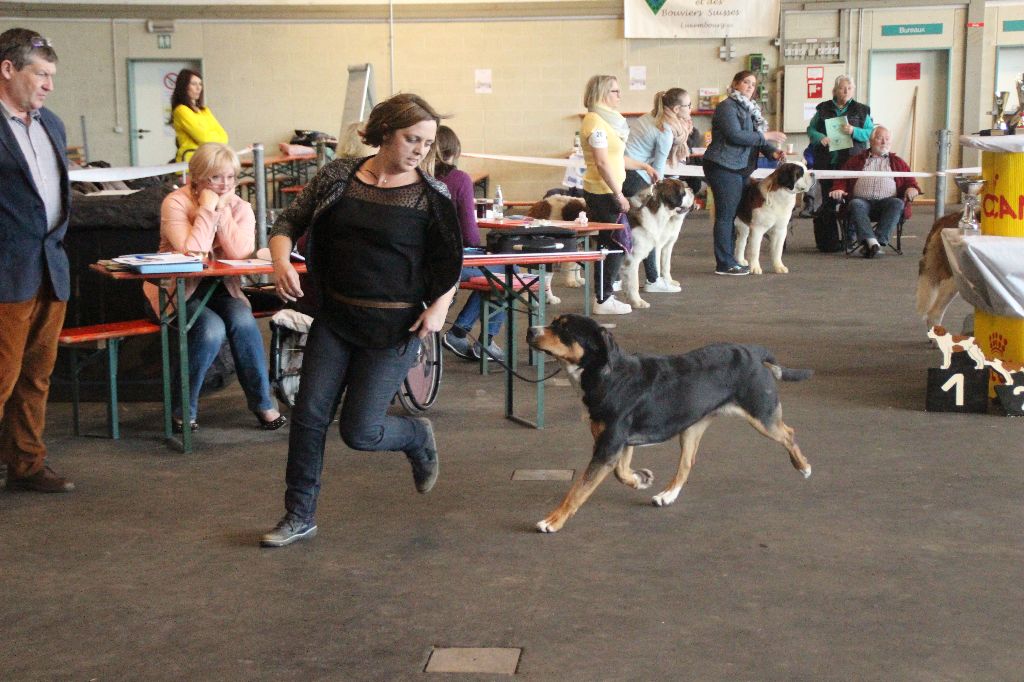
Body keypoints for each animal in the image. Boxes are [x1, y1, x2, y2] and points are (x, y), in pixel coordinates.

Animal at [526, 313, 813, 533]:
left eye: (564, 329)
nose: (530, 330)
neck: (608, 376)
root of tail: (752, 351)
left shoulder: (608, 446)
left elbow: (578, 490)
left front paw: (553, 521)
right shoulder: (618, 443)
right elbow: (621, 472)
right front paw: (641, 479)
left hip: (762, 415)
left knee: (788, 433)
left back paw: (803, 467)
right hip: (692, 427)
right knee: (687, 464)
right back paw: (667, 495)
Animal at [620, 179, 694, 309]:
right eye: (683, 192)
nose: (692, 190)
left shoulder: (668, 245)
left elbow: (666, 265)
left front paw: (669, 282)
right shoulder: (633, 258)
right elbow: (634, 281)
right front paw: (637, 302)